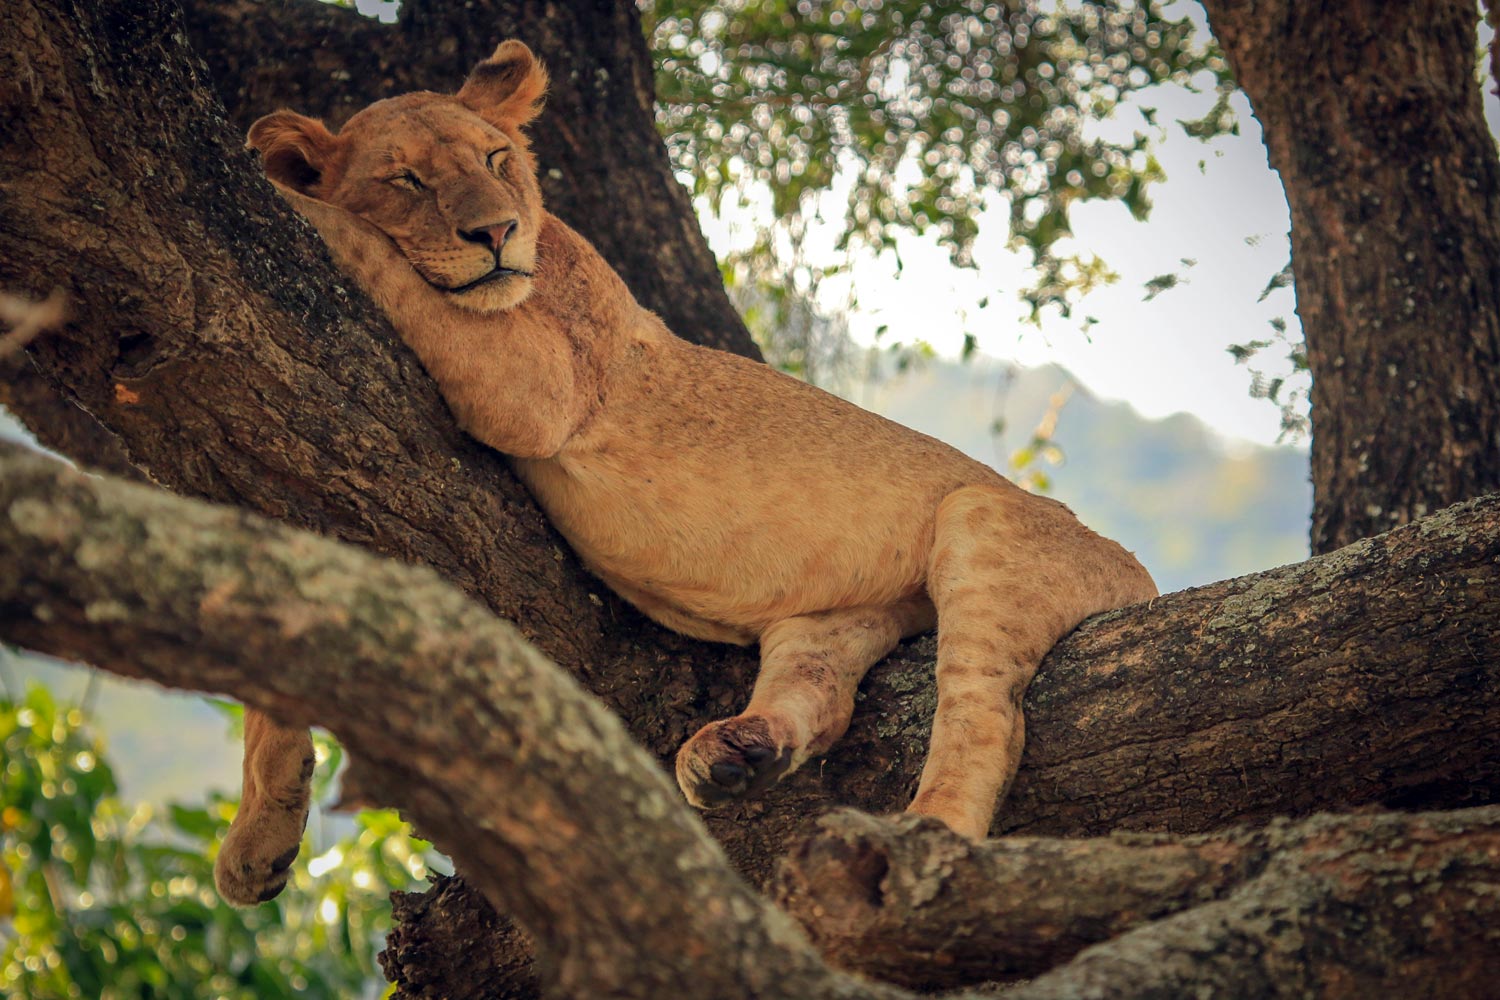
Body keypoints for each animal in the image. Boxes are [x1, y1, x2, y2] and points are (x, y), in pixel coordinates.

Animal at [219, 41, 1158, 905]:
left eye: (494, 160)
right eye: (406, 180)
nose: (495, 235)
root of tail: (1140, 569)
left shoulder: (539, 384)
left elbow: (360, 242)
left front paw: (276, 188)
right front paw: (258, 840)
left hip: (985, 523)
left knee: (985, 720)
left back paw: (921, 848)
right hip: (837, 616)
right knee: (821, 693)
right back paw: (735, 753)